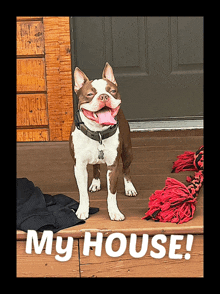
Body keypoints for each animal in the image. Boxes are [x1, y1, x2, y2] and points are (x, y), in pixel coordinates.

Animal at [69, 63, 137, 222]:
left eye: (112, 91)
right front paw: (83, 210)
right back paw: (95, 183)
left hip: (127, 151)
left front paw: (114, 212)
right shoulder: (79, 166)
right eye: (89, 94)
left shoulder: (113, 166)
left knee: (126, 170)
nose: (104, 96)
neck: (98, 133)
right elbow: (82, 193)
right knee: (96, 167)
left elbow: (112, 194)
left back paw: (129, 187)